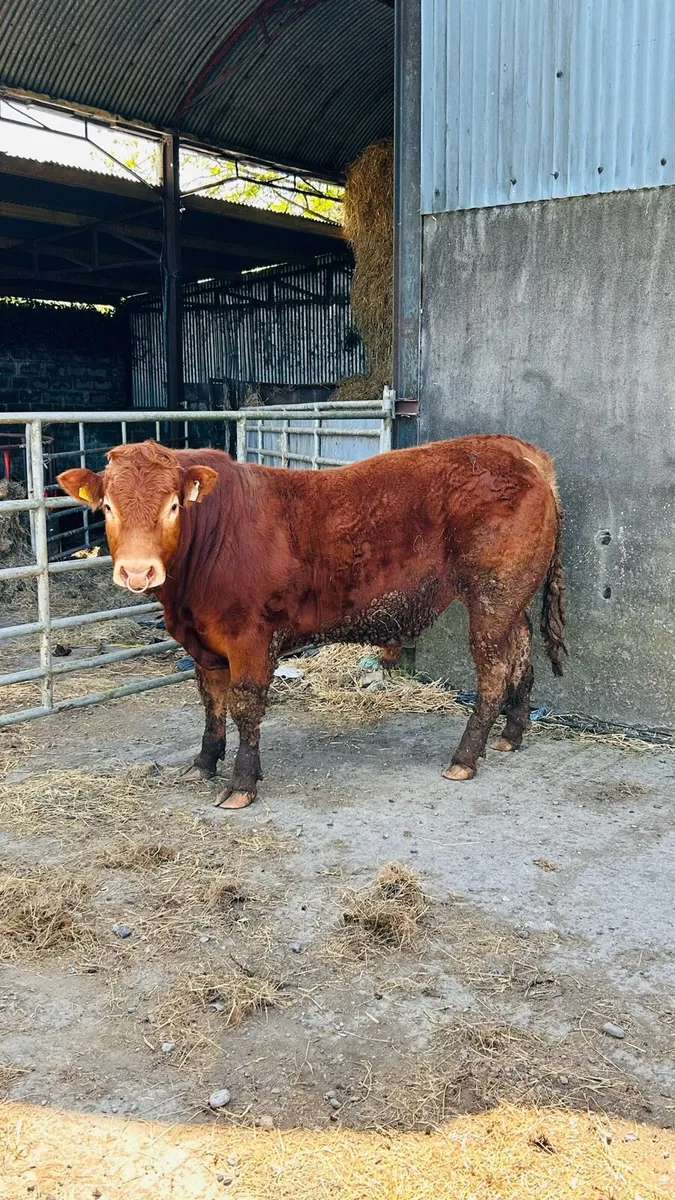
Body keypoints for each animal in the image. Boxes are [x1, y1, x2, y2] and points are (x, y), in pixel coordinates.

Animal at [58, 434, 566, 809]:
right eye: (108, 507)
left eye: (173, 506)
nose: (138, 571)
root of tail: (516, 449)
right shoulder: (204, 644)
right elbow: (211, 704)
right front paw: (203, 762)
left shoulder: (250, 637)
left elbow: (245, 706)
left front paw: (241, 784)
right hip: (513, 598)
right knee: (522, 656)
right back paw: (511, 736)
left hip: (491, 595)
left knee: (494, 670)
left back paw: (465, 757)